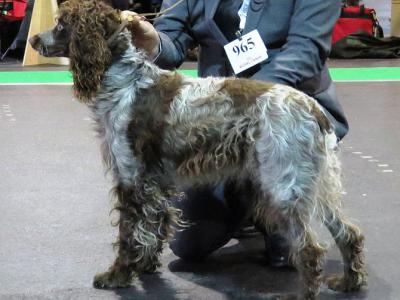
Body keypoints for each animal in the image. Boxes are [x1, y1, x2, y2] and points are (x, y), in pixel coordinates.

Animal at [29, 1, 368, 298]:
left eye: (61, 24)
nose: (33, 39)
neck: (124, 80)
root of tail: (314, 109)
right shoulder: (155, 182)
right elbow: (152, 228)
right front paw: (146, 266)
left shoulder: (131, 176)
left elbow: (129, 234)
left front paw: (118, 275)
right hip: (313, 184)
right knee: (349, 233)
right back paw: (349, 283)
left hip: (284, 186)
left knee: (311, 251)